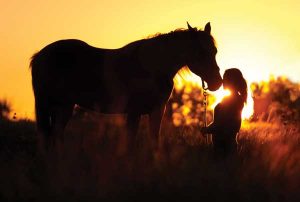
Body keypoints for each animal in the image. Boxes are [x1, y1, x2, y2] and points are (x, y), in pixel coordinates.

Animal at [30, 22, 221, 152]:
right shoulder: (134, 112)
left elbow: (154, 140)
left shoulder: (157, 110)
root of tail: (40, 55)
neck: (152, 66)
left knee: (54, 135)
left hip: (61, 107)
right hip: (53, 105)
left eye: (214, 51)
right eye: (201, 52)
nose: (217, 82)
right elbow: (131, 143)